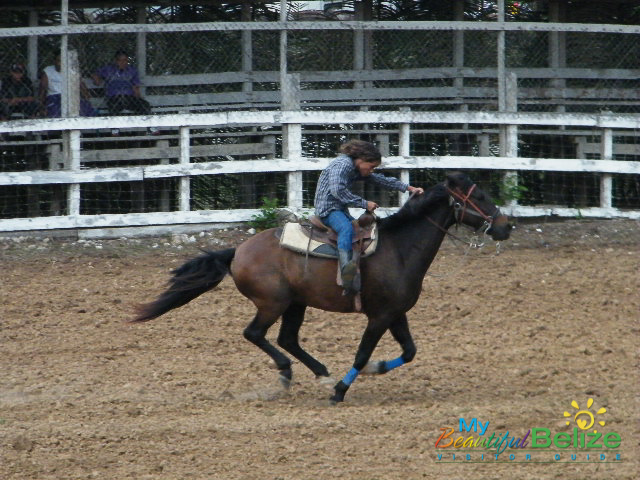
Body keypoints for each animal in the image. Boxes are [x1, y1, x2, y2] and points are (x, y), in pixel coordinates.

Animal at [132, 172, 512, 403]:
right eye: (480, 196)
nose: (506, 226)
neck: (399, 249)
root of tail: (237, 251)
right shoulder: (379, 317)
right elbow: (362, 353)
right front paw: (342, 391)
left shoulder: (395, 312)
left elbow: (409, 351)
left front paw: (370, 372)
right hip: (273, 303)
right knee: (255, 334)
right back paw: (290, 373)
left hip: (296, 303)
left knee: (287, 339)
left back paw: (321, 374)